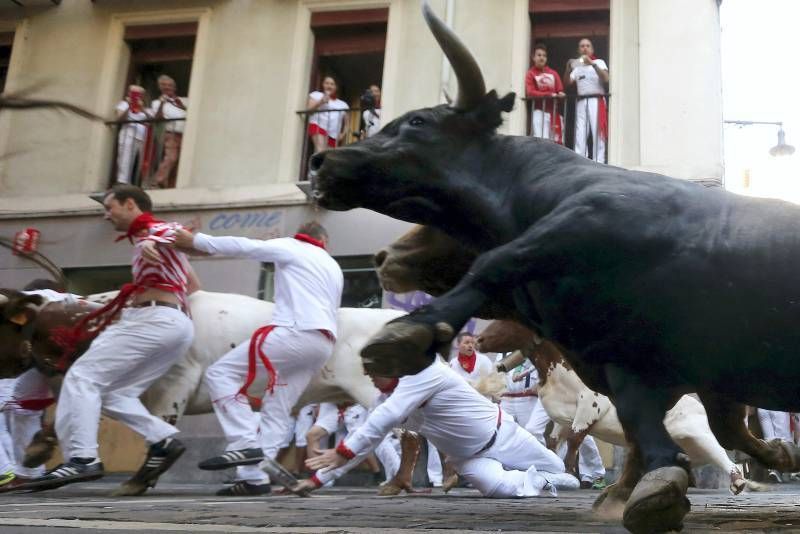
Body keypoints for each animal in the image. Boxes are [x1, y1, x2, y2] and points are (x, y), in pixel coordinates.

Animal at [310, 2, 800, 532]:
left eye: (418, 120)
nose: (321, 162)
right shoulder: (630, 357)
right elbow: (658, 427)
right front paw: (660, 486)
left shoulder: (592, 225)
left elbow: (497, 259)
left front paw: (408, 334)